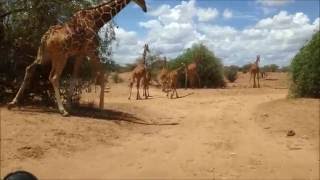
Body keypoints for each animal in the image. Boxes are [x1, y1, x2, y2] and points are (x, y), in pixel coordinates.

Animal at [7, 0, 148, 116]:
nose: (145, 8)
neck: (97, 20)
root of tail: (45, 38)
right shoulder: (91, 50)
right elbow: (102, 73)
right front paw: (101, 108)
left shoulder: (80, 53)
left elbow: (75, 75)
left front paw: (70, 105)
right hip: (61, 56)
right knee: (54, 77)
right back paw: (62, 110)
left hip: (44, 55)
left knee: (29, 68)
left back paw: (13, 102)